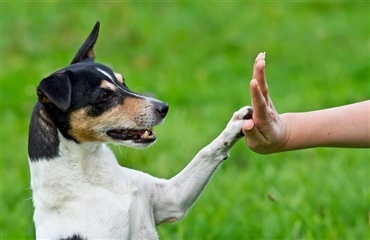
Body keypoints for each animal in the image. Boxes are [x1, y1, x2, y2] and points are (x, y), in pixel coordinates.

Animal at [28, 21, 251, 239]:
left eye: (123, 81)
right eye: (103, 95)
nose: (164, 107)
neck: (93, 178)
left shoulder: (171, 199)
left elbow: (206, 152)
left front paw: (236, 124)